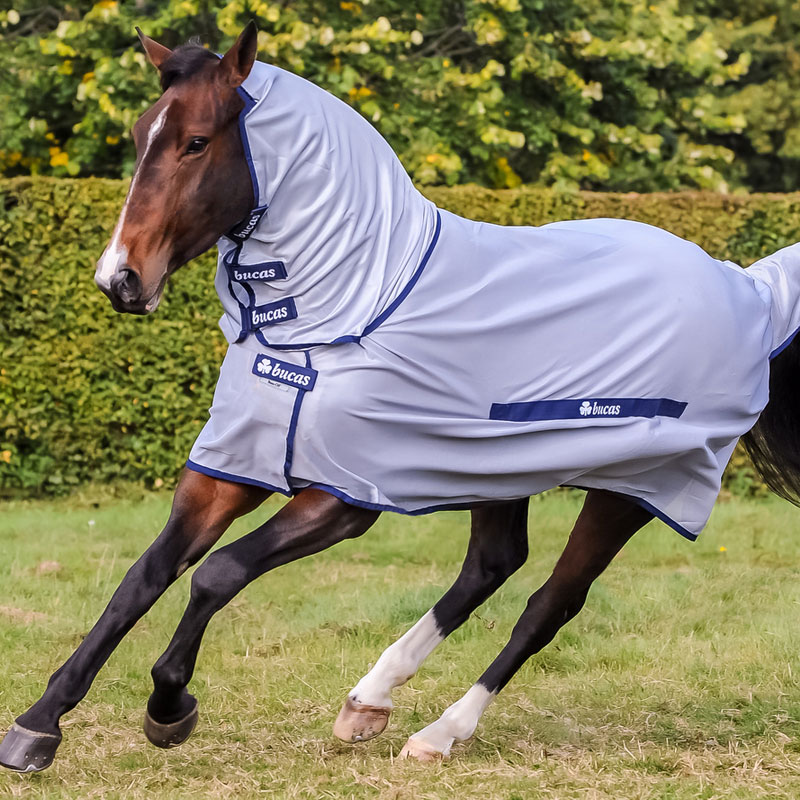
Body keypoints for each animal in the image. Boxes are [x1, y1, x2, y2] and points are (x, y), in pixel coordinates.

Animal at [2, 22, 800, 774]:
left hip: (631, 488)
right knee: (493, 565)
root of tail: (746, 289)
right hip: (497, 464)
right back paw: (368, 700)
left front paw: (169, 705)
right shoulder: (229, 471)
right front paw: (39, 725)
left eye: (197, 141)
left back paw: (439, 733)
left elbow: (216, 574)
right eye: (142, 135)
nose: (119, 279)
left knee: (549, 603)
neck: (350, 311)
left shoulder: (343, 497)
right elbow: (142, 579)